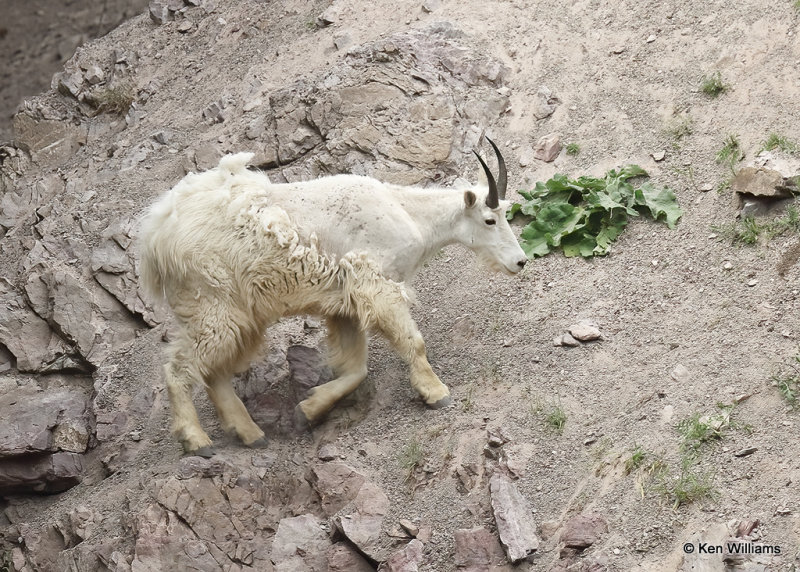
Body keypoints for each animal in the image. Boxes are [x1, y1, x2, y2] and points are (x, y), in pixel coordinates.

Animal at [139, 139, 524, 456]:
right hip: (211, 305)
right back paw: (196, 440)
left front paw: (307, 409)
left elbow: (356, 369)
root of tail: (156, 237)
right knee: (179, 368)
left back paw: (251, 434)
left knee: (215, 373)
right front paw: (436, 393)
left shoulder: (345, 305)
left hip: (238, 315)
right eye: (489, 220)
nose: (520, 261)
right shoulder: (376, 284)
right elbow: (412, 342)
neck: (407, 212)